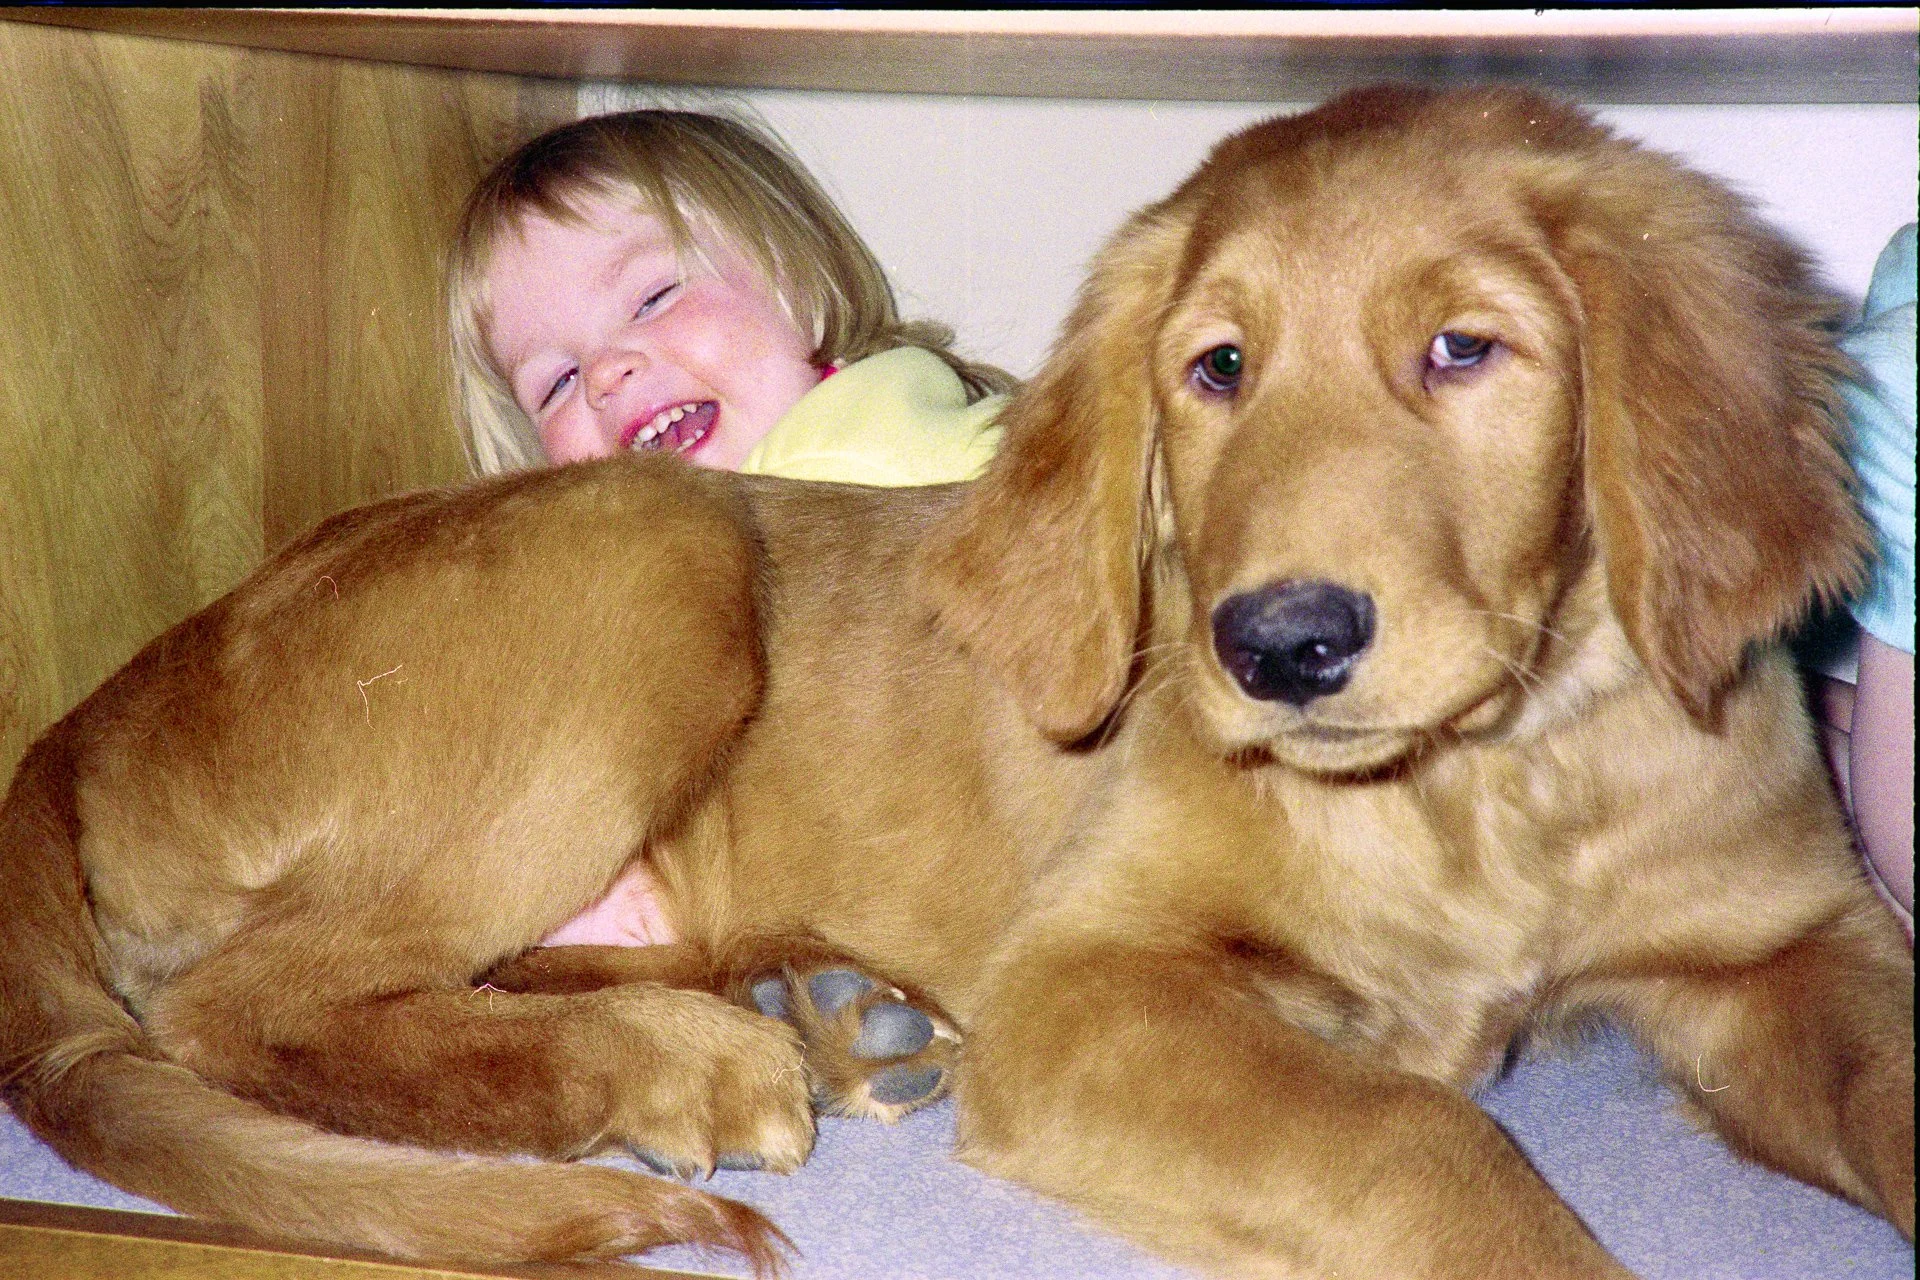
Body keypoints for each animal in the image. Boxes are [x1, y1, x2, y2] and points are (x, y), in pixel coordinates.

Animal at [1, 85, 1911, 1278]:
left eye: (1467, 350)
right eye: (1215, 369)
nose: (1277, 647)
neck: (1490, 784)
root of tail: (86, 711)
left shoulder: (1794, 943)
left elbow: (1882, 1073)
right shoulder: (1081, 987)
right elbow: (1418, 1141)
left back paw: (817, 1006)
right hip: (653, 540)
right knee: (239, 1006)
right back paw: (683, 1059)